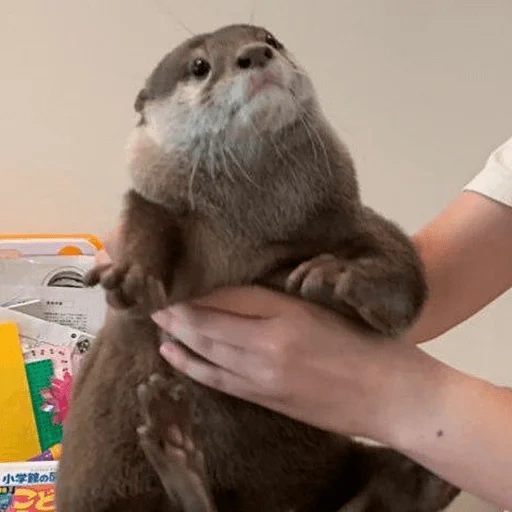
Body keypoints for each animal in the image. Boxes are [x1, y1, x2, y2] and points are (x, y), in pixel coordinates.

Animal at [56, 24, 460, 512]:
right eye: (199, 65)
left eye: (270, 38)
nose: (255, 54)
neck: (250, 228)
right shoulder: (162, 208)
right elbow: (146, 225)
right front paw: (132, 274)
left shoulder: (342, 216)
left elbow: (401, 267)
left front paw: (340, 277)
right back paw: (175, 447)